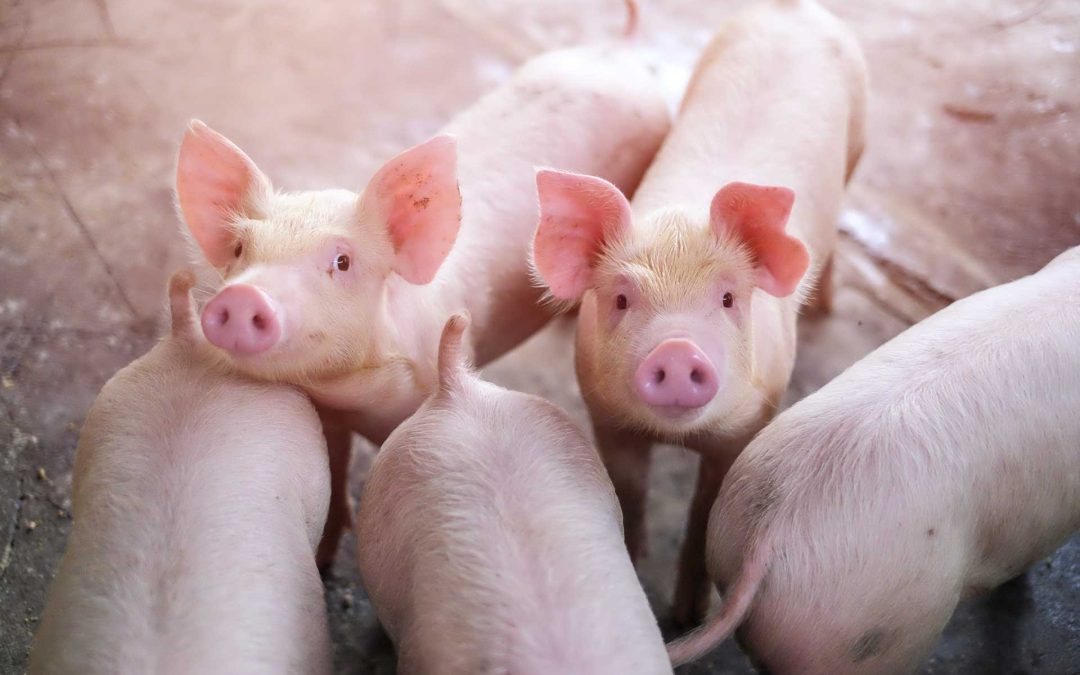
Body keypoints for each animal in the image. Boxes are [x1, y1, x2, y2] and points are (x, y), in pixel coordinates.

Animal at [173, 2, 670, 569]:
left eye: (342, 261)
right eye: (240, 250)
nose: (242, 296)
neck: (359, 395)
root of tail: (621, 46)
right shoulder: (331, 411)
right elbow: (335, 469)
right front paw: (323, 560)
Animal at [530, 0, 867, 624]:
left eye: (729, 298)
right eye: (622, 298)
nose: (678, 349)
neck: (676, 437)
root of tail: (793, 11)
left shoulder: (750, 420)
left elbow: (703, 514)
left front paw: (686, 616)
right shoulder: (606, 416)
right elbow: (630, 494)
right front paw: (636, 564)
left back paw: (828, 305)